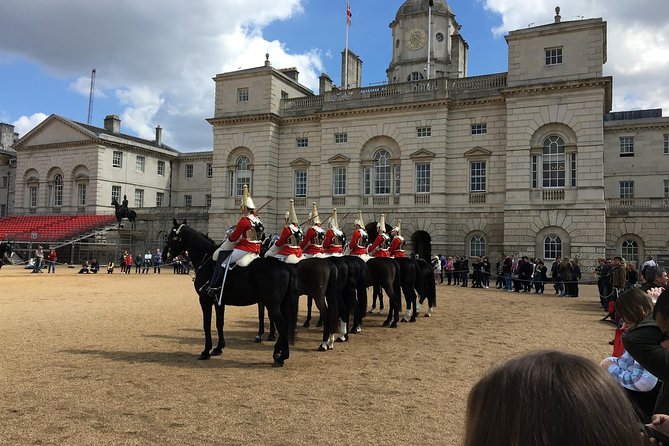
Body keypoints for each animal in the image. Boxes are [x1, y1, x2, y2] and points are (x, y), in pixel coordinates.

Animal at [162, 218, 294, 368]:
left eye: (172, 236)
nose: (164, 256)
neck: (205, 259)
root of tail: (284, 266)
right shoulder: (219, 301)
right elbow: (219, 323)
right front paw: (218, 348)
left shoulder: (205, 300)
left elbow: (206, 324)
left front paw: (206, 351)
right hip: (279, 304)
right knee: (285, 324)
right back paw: (277, 352)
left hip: (272, 304)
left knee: (282, 325)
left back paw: (282, 356)